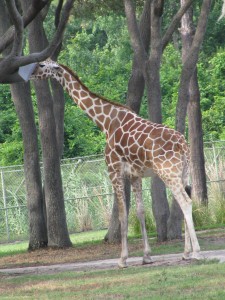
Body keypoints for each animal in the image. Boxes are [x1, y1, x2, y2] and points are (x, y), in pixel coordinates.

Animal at [30, 58, 201, 268]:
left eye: (42, 65)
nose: (31, 73)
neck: (105, 122)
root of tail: (184, 145)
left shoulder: (114, 171)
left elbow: (122, 214)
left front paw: (122, 259)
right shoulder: (135, 175)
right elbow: (140, 211)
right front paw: (146, 256)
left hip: (168, 172)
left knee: (185, 202)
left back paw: (197, 253)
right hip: (183, 173)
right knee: (185, 202)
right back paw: (185, 253)